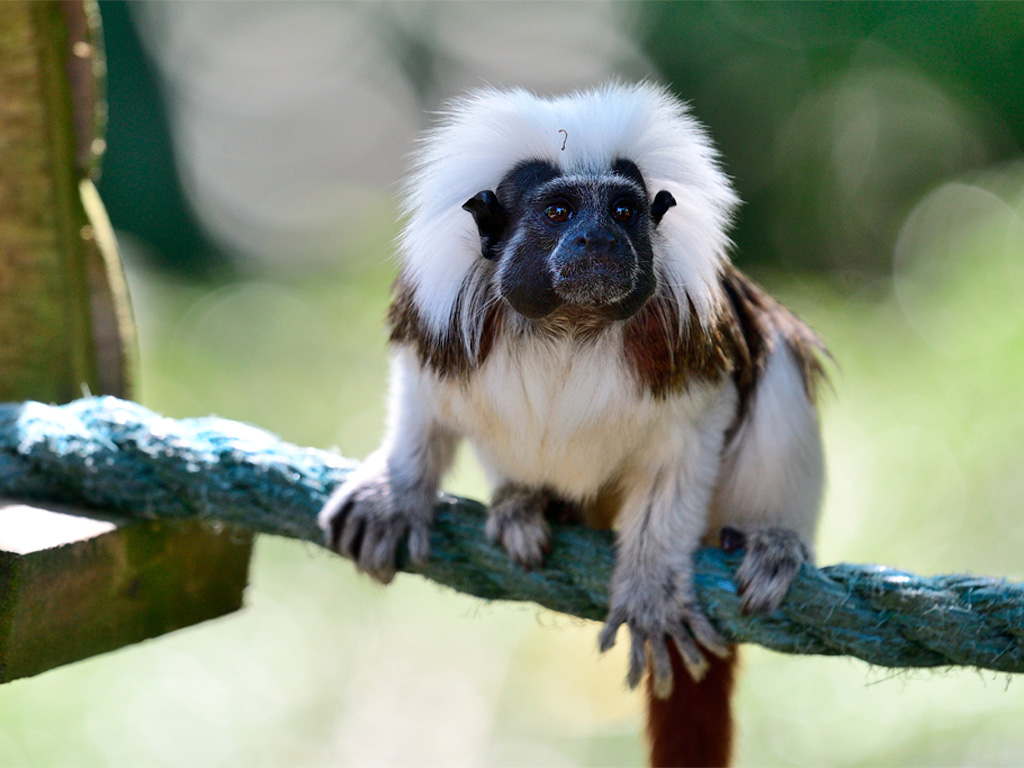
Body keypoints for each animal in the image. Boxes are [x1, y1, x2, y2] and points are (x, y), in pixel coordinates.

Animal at [319, 83, 827, 767]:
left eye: (622, 211)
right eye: (559, 213)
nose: (598, 241)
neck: (568, 326)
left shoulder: (685, 340)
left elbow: (687, 448)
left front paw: (650, 584)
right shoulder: (441, 322)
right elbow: (423, 403)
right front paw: (395, 493)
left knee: (777, 360)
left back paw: (772, 540)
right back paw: (528, 503)